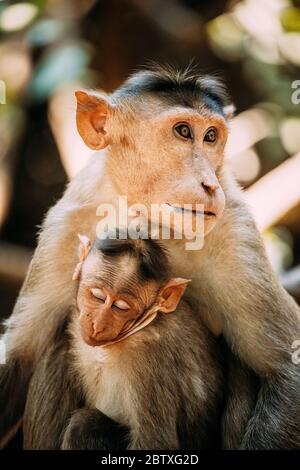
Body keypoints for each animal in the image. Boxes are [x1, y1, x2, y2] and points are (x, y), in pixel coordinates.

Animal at [23, 234, 224, 448]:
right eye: (97, 295)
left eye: (121, 307)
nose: (97, 324)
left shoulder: (150, 357)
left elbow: (154, 441)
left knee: (83, 424)